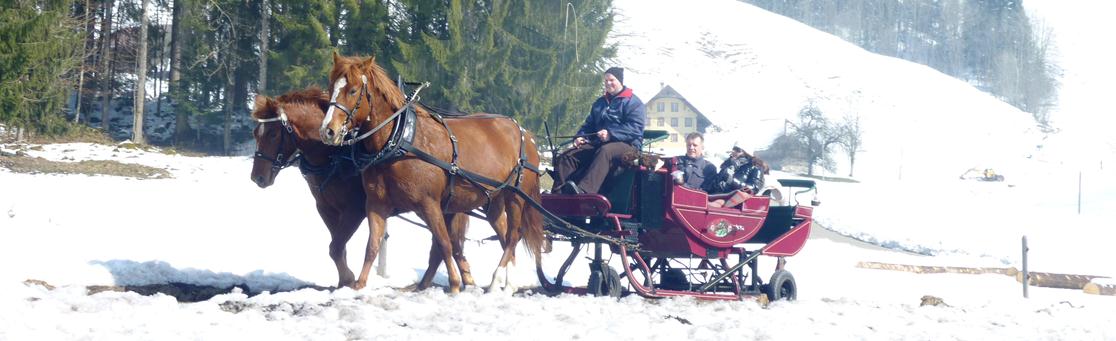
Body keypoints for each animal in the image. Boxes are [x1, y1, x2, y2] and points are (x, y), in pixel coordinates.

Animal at [251, 88, 477, 289]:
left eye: (273, 134)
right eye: (255, 133)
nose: (257, 177)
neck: (334, 155)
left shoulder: (355, 209)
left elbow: (336, 246)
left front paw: (349, 279)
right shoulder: (326, 209)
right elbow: (338, 247)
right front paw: (344, 280)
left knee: (446, 242)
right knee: (449, 243)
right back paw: (461, 280)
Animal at [319, 53, 544, 291]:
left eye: (353, 90)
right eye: (331, 86)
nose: (327, 131)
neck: (400, 140)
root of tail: (525, 133)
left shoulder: (429, 203)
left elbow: (443, 243)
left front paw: (454, 285)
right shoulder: (376, 203)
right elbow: (372, 244)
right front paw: (359, 284)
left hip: (516, 196)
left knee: (513, 235)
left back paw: (497, 280)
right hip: (493, 200)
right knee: (504, 233)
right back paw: (508, 283)